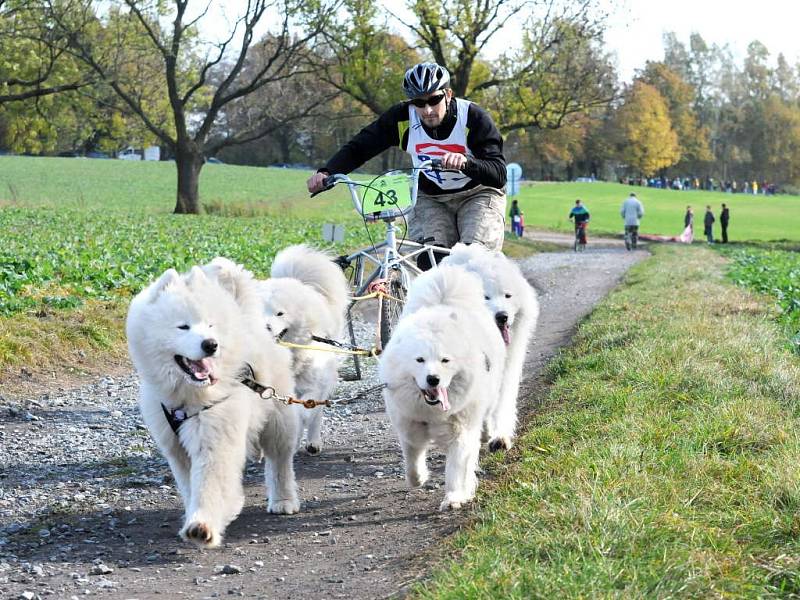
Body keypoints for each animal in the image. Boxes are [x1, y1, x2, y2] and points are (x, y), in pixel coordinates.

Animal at [126, 258, 302, 548]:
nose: (211, 344)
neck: (187, 397)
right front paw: (193, 514)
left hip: (278, 421)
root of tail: (248, 317)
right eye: (183, 326)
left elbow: (210, 484)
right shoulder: (176, 447)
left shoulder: (214, 436)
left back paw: (284, 500)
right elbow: (189, 486)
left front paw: (202, 525)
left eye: (210, 325)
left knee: (280, 463)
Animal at [256, 244, 350, 454]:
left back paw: (313, 442)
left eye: (280, 313)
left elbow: (303, 412)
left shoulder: (311, 387)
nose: (265, 327)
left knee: (316, 415)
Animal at [378, 264, 504, 508]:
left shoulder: (460, 431)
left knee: (486, 416)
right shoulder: (409, 427)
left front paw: (454, 496)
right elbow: (412, 462)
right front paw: (418, 479)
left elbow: (456, 467)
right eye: (419, 360)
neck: (432, 412)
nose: (433, 379)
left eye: (445, 360)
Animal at [440, 243, 540, 450]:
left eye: (508, 295)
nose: (502, 316)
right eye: (485, 297)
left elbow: (501, 403)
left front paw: (500, 436)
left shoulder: (507, 370)